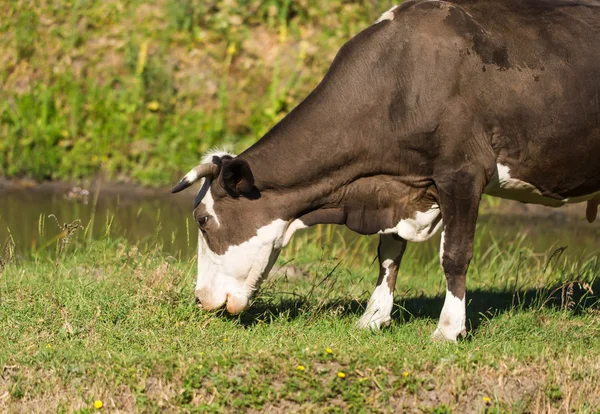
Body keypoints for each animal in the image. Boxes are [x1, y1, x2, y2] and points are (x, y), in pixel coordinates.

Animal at [172, 0, 600, 342]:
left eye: (203, 220)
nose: (199, 298)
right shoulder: (397, 186)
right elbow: (389, 253)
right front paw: (374, 318)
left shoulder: (463, 171)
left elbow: (454, 255)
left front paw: (448, 329)